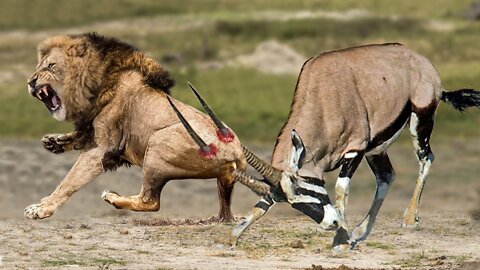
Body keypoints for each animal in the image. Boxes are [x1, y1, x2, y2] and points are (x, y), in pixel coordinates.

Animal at [24, 32, 246, 220]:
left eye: (51, 66)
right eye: (38, 66)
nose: (30, 82)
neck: (96, 84)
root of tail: (237, 156)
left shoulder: (103, 149)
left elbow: (69, 181)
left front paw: (42, 208)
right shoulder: (90, 129)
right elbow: (79, 138)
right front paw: (54, 141)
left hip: (158, 143)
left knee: (151, 202)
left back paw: (112, 197)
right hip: (221, 183)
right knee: (226, 214)